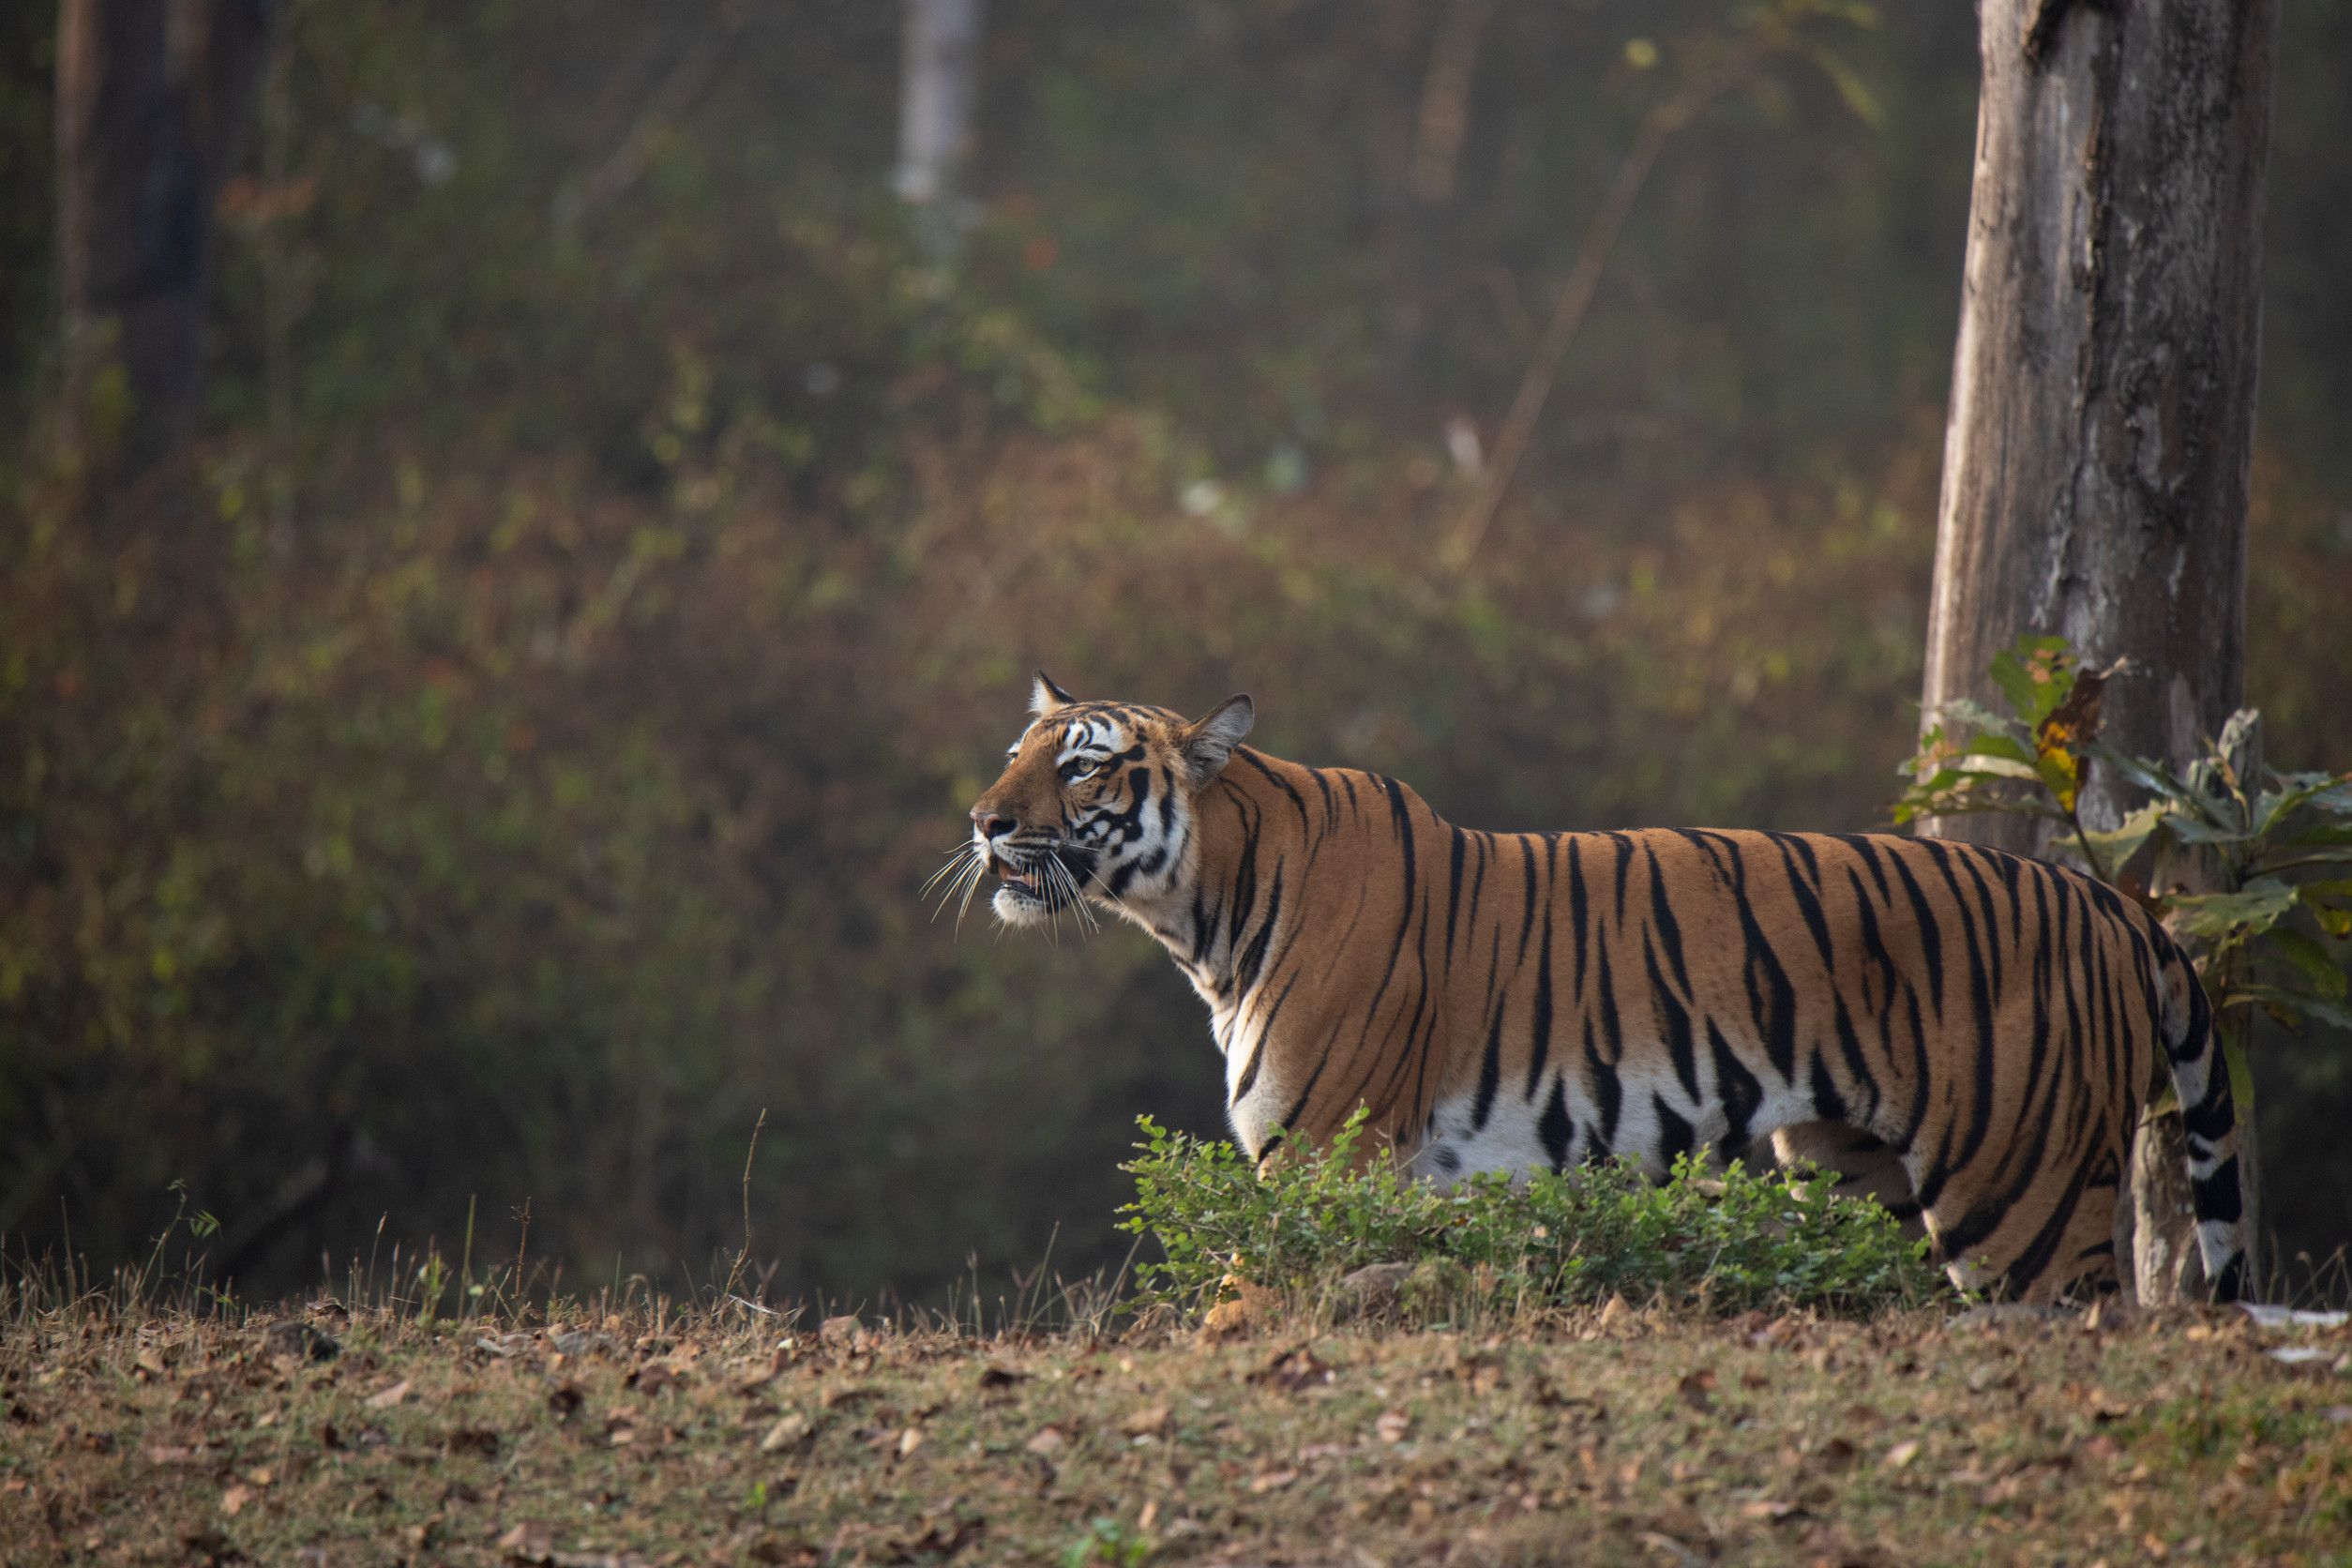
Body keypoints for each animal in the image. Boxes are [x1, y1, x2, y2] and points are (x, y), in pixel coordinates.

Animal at [953, 674, 2247, 1304]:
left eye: (1083, 768)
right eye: (1016, 755)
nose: (983, 822)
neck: (1206, 911)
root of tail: (2111, 902)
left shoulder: (1320, 1158)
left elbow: (1236, 1303)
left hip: (2022, 1196)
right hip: (1854, 1169)